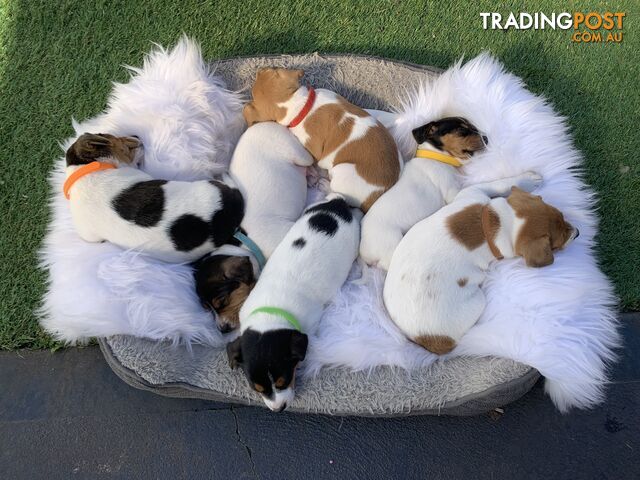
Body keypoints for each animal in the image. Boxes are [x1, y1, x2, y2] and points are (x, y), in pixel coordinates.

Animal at [191, 123, 312, 334]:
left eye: (222, 301)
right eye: (206, 308)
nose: (222, 330)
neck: (244, 242)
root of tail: (261, 124)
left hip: (295, 151)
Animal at [228, 196, 362, 412]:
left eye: (283, 381)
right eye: (257, 388)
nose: (278, 409)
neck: (270, 315)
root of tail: (336, 205)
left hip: (353, 236)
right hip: (311, 209)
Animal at [244, 67, 400, 212]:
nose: (259, 70)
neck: (299, 105)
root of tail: (377, 196)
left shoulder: (311, 150)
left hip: (342, 172)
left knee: (337, 192)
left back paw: (323, 184)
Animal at [360, 116, 484, 270]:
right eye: (462, 130)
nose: (486, 138)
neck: (436, 157)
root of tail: (364, 253)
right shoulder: (452, 192)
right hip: (391, 246)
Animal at [384, 171, 580, 354]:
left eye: (562, 215)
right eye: (556, 245)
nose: (578, 233)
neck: (496, 224)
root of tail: (425, 341)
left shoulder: (472, 193)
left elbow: (497, 185)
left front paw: (526, 180)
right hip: (477, 301)